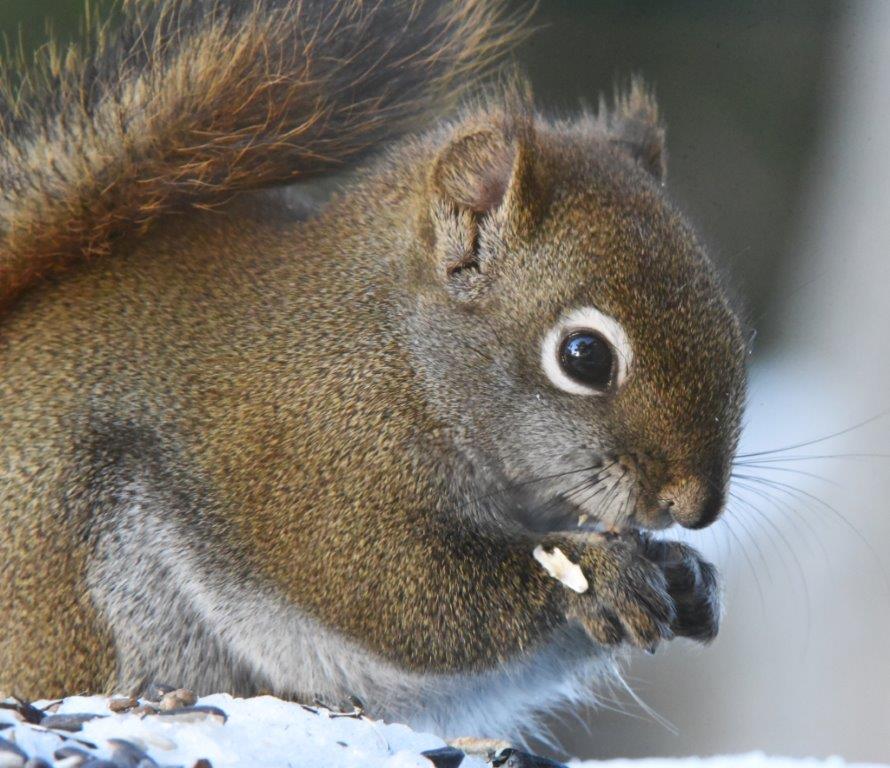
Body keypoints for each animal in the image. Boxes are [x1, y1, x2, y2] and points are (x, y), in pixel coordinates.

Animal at [0, 0, 746, 739]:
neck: (402, 360)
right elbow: (401, 596)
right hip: (83, 564)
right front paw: (603, 572)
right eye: (585, 356)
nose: (694, 507)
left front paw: (687, 576)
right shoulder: (315, 465)